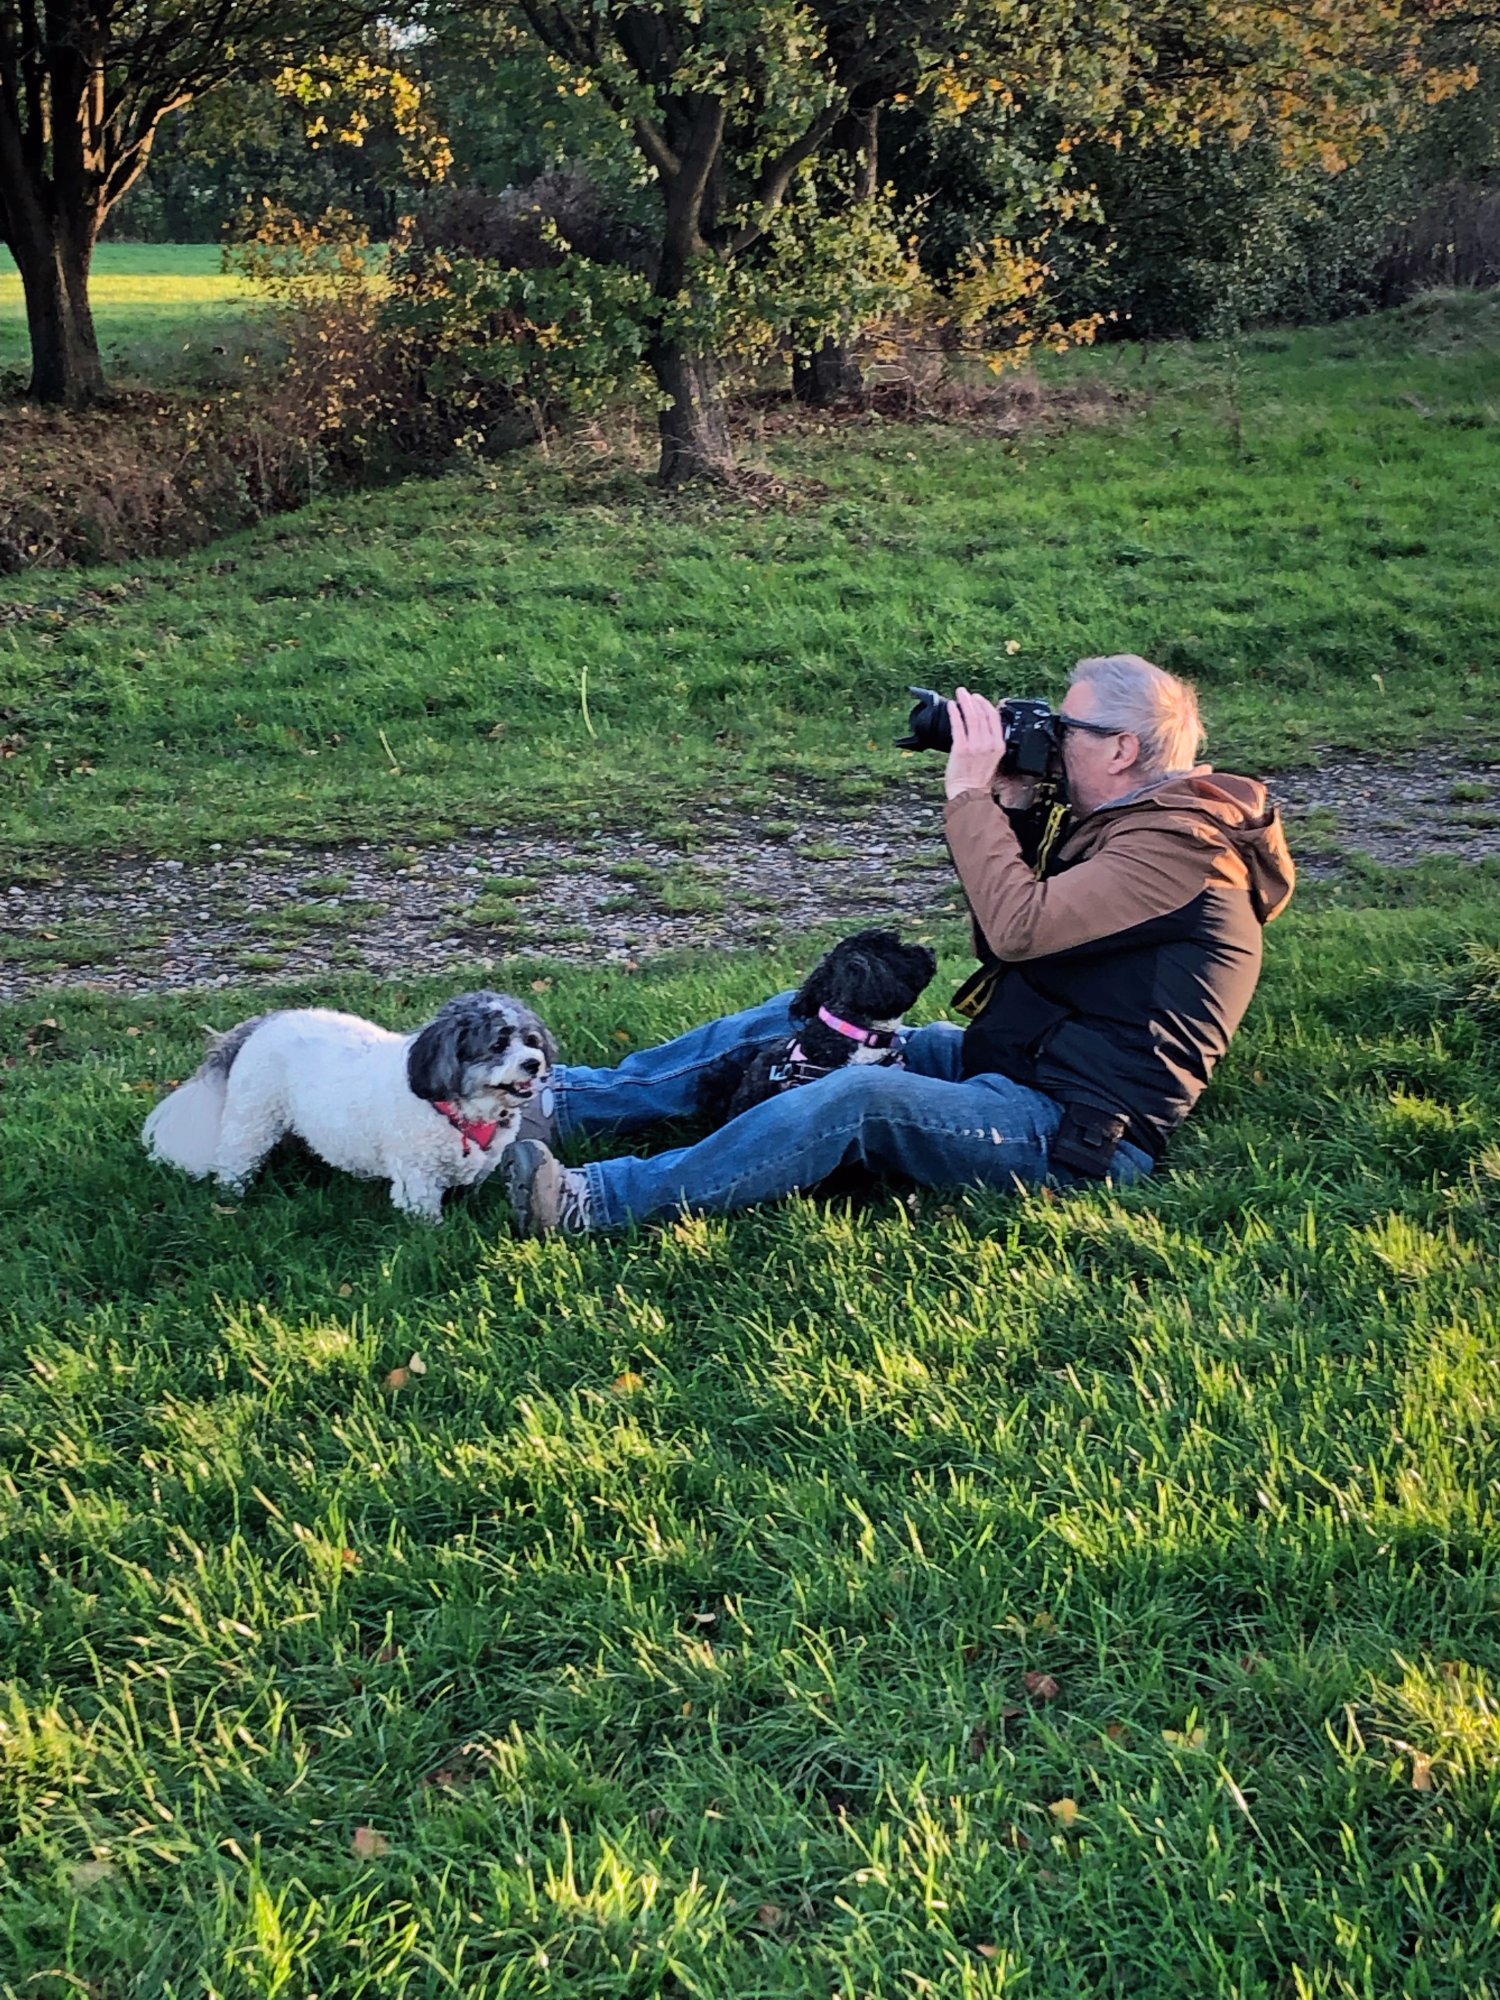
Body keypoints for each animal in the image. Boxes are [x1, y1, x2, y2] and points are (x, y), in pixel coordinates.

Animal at [142, 996, 560, 1224]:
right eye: (498, 1045)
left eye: (531, 1040)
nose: (533, 1063)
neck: (454, 1110)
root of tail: (262, 1023)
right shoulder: (416, 1176)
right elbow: (424, 1211)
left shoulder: (478, 1167)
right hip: (253, 1118)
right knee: (235, 1158)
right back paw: (233, 1195)